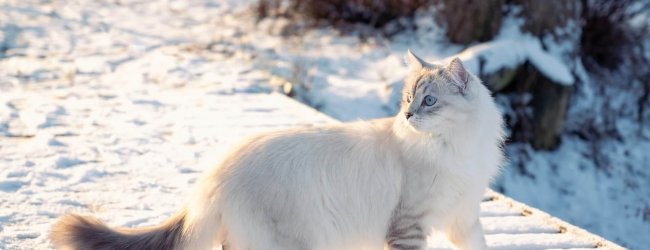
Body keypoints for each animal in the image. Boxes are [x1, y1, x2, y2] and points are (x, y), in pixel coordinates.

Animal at [50, 49, 504, 249]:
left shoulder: (463, 217)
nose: (408, 116)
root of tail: (214, 173)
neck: (457, 149)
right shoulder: (409, 225)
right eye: (409, 99)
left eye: (428, 101)